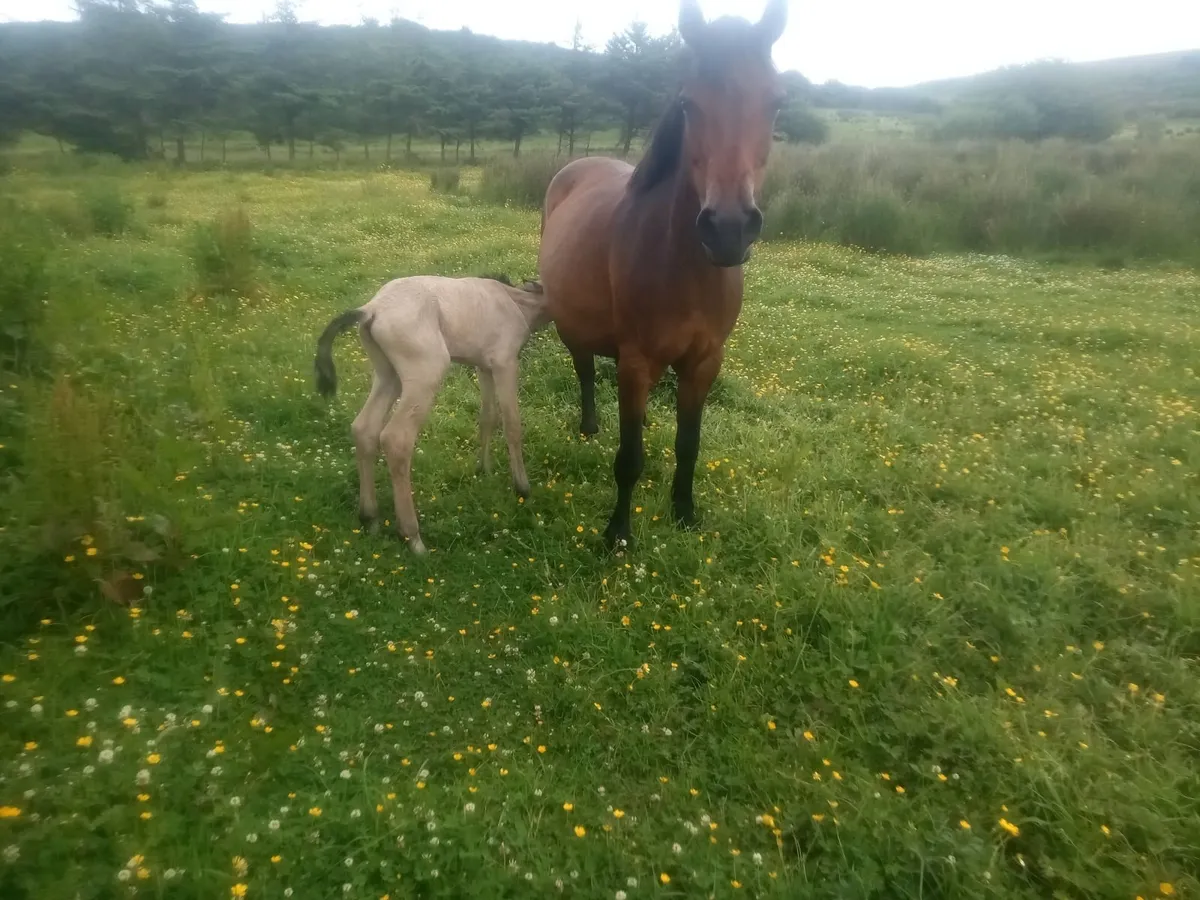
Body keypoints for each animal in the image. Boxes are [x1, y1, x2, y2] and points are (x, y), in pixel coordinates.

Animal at [313, 274, 550, 554]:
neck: (514, 301)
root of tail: (372, 308)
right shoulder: (505, 364)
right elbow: (512, 424)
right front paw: (522, 487)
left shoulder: (484, 366)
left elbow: (488, 418)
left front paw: (484, 469)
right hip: (426, 375)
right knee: (396, 439)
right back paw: (413, 537)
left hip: (388, 376)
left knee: (364, 429)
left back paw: (370, 517)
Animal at [537, 0, 788, 550]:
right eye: (688, 104)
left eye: (777, 102)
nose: (729, 228)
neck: (685, 270)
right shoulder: (636, 361)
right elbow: (629, 458)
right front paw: (617, 534)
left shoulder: (704, 362)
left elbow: (689, 443)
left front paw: (684, 512)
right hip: (572, 324)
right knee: (584, 368)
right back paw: (590, 425)